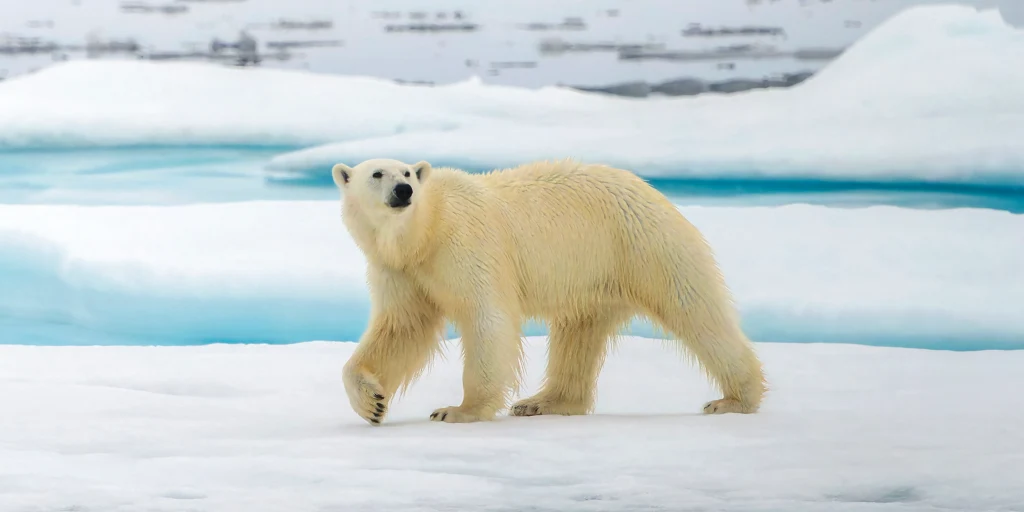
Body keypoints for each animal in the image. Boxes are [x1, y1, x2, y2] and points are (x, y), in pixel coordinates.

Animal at [331, 157, 766, 425]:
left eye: (406, 172)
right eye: (377, 174)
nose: (403, 190)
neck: (425, 231)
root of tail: (651, 191)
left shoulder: (467, 245)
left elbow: (487, 318)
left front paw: (458, 410)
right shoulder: (400, 270)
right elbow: (401, 328)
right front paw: (372, 403)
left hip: (643, 244)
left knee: (695, 310)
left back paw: (734, 399)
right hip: (594, 275)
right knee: (578, 334)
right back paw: (543, 401)